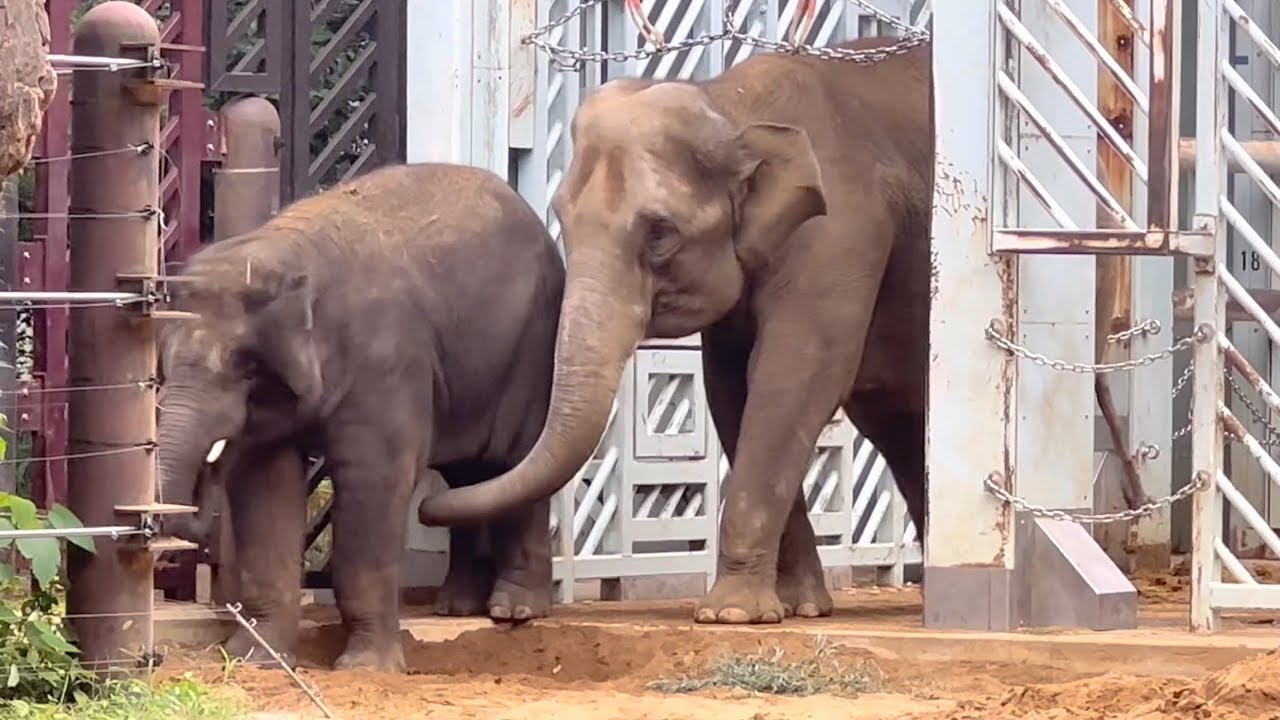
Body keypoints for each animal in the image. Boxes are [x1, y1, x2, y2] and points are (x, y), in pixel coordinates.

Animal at [156, 162, 567, 671]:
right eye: (164, 361)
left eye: (248, 367)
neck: (284, 252)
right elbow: (264, 484)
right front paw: (257, 659)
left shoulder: (384, 362)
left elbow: (374, 479)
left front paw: (366, 668)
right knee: (467, 478)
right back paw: (456, 606)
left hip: (534, 351)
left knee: (515, 461)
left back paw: (515, 611)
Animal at [416, 37, 933, 626]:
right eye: (563, 219)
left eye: (660, 233)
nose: (425, 505)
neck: (729, 102)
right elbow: (731, 389)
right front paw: (795, 607)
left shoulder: (839, 233)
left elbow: (794, 375)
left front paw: (730, 615)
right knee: (900, 424)